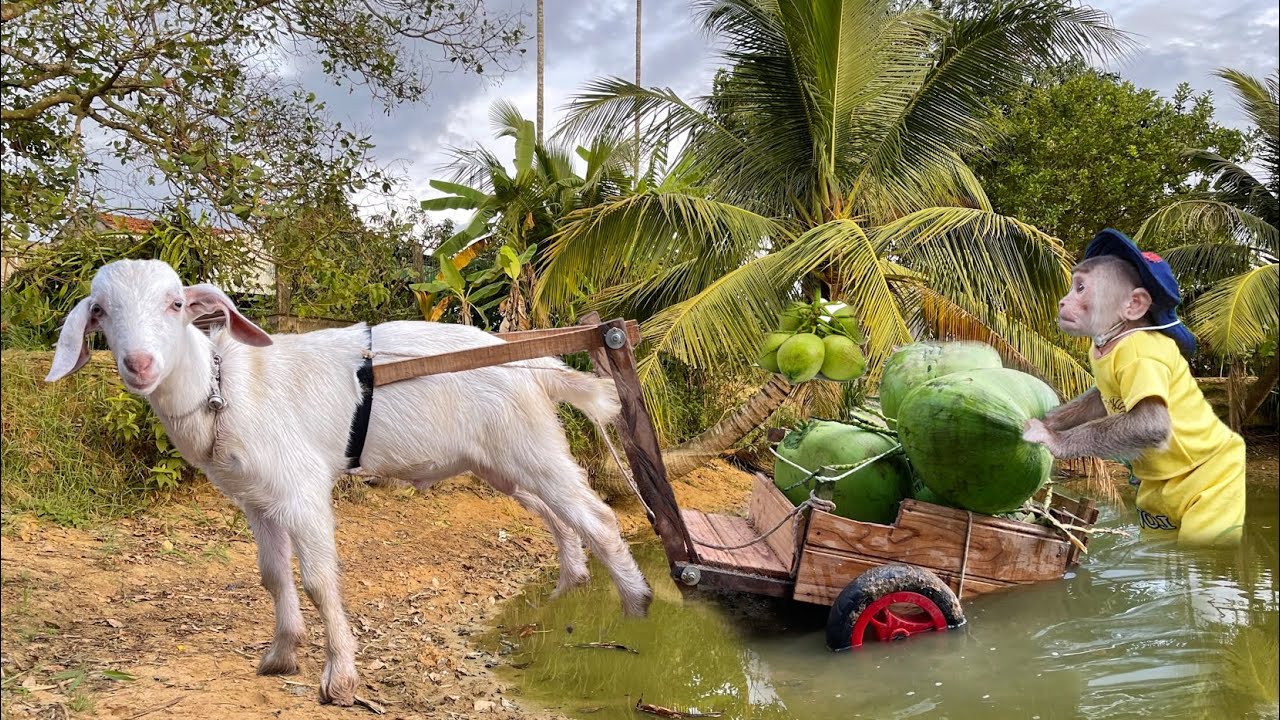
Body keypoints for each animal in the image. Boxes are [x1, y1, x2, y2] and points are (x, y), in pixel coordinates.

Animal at [45, 259, 652, 706]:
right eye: (100, 311)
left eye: (175, 304)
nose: (140, 364)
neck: (226, 387)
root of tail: (534, 364)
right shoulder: (255, 501)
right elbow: (272, 576)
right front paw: (280, 656)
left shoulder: (302, 489)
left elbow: (317, 580)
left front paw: (339, 679)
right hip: (501, 462)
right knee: (555, 514)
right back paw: (569, 586)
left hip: (528, 444)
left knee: (596, 515)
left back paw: (638, 606)